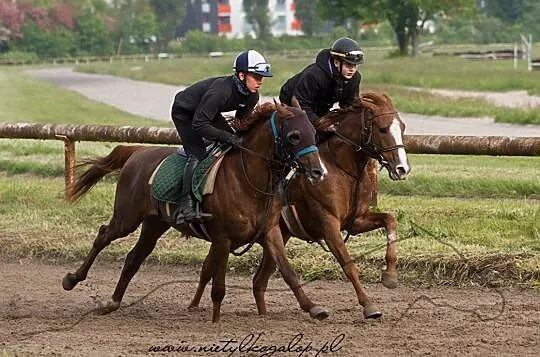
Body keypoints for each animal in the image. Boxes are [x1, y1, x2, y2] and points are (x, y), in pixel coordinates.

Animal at [61, 101, 326, 322]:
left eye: (313, 133)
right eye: (294, 136)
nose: (318, 172)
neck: (249, 180)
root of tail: (138, 152)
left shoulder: (270, 232)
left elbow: (288, 272)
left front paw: (313, 308)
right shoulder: (222, 238)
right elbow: (219, 285)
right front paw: (215, 319)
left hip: (154, 224)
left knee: (133, 258)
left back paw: (113, 302)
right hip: (127, 217)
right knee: (103, 235)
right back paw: (72, 279)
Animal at [190, 91, 410, 318]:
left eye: (402, 127)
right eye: (383, 128)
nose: (402, 169)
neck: (343, 168)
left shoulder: (355, 220)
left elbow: (390, 220)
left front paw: (390, 276)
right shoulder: (328, 223)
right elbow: (348, 264)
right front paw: (369, 306)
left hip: (266, 234)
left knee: (256, 279)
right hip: (235, 234)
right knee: (210, 268)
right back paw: (194, 306)